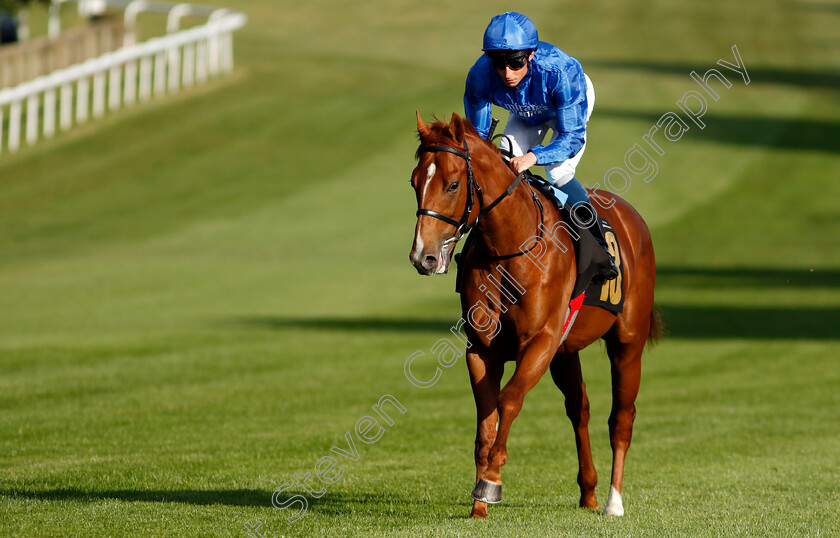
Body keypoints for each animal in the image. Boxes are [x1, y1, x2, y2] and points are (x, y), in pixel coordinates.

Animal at [408, 112, 664, 516]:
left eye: (452, 184)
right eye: (415, 182)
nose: (424, 257)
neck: (509, 247)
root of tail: (631, 216)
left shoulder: (540, 341)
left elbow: (509, 399)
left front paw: (491, 483)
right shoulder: (482, 349)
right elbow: (486, 420)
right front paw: (478, 505)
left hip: (627, 342)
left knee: (622, 417)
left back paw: (613, 501)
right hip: (566, 351)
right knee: (579, 408)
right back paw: (588, 492)